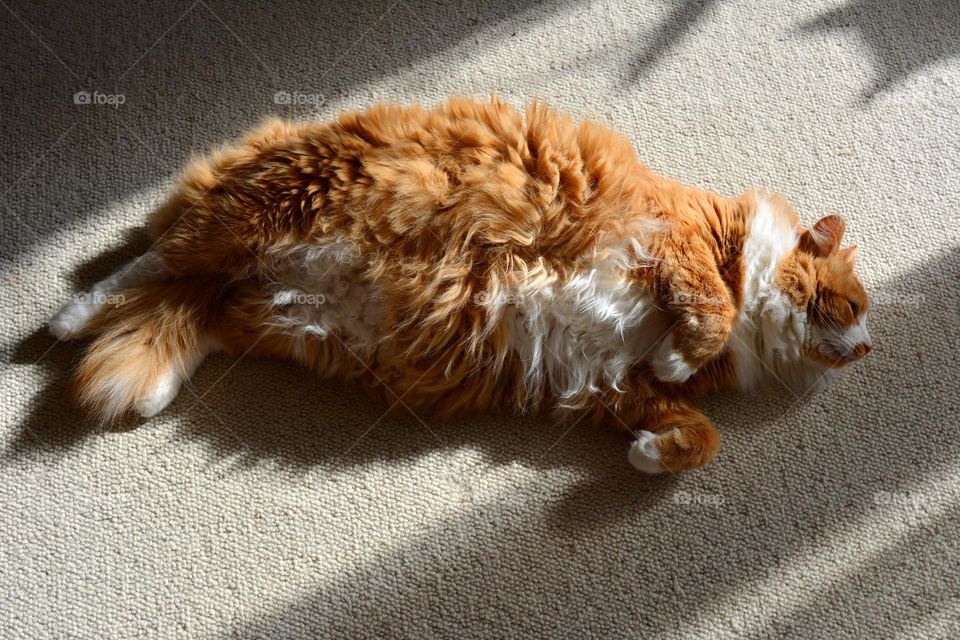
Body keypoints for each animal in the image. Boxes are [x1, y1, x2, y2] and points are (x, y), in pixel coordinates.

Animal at [50, 97, 872, 472]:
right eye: (851, 305)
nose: (866, 349)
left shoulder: (613, 385)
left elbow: (700, 435)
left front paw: (649, 453)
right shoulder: (671, 239)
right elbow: (710, 306)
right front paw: (686, 351)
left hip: (271, 313)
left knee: (195, 309)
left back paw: (148, 386)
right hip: (266, 206)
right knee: (154, 256)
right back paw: (68, 316)